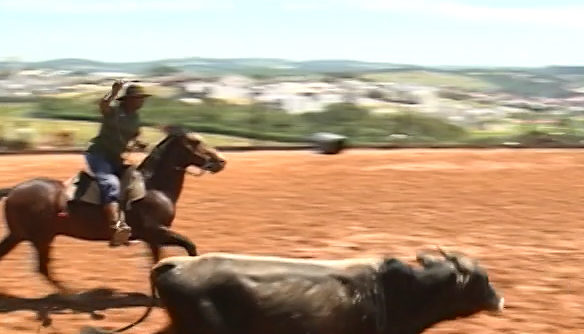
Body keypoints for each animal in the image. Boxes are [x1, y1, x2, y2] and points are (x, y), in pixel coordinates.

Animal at [0, 128, 226, 292]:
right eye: (195, 142)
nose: (221, 161)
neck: (153, 187)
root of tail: (14, 190)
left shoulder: (153, 238)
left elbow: (162, 259)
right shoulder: (157, 231)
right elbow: (188, 245)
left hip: (20, 235)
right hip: (41, 238)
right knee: (43, 269)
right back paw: (74, 295)